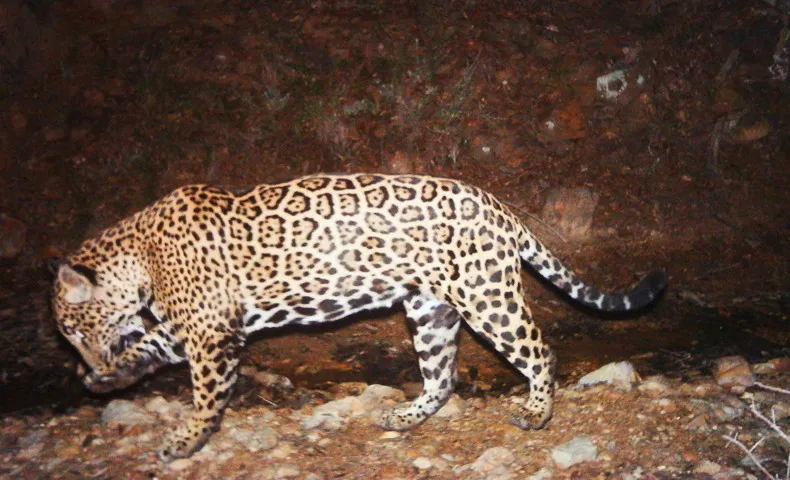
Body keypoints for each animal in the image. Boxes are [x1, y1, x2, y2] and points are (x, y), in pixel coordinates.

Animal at [52, 173, 666, 462]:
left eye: (74, 330)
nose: (83, 360)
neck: (141, 257)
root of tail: (500, 208)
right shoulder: (195, 331)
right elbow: (148, 346)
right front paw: (107, 377)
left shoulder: (209, 337)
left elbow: (204, 399)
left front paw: (184, 443)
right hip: (430, 309)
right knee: (442, 378)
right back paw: (405, 417)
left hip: (485, 295)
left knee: (540, 351)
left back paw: (537, 413)